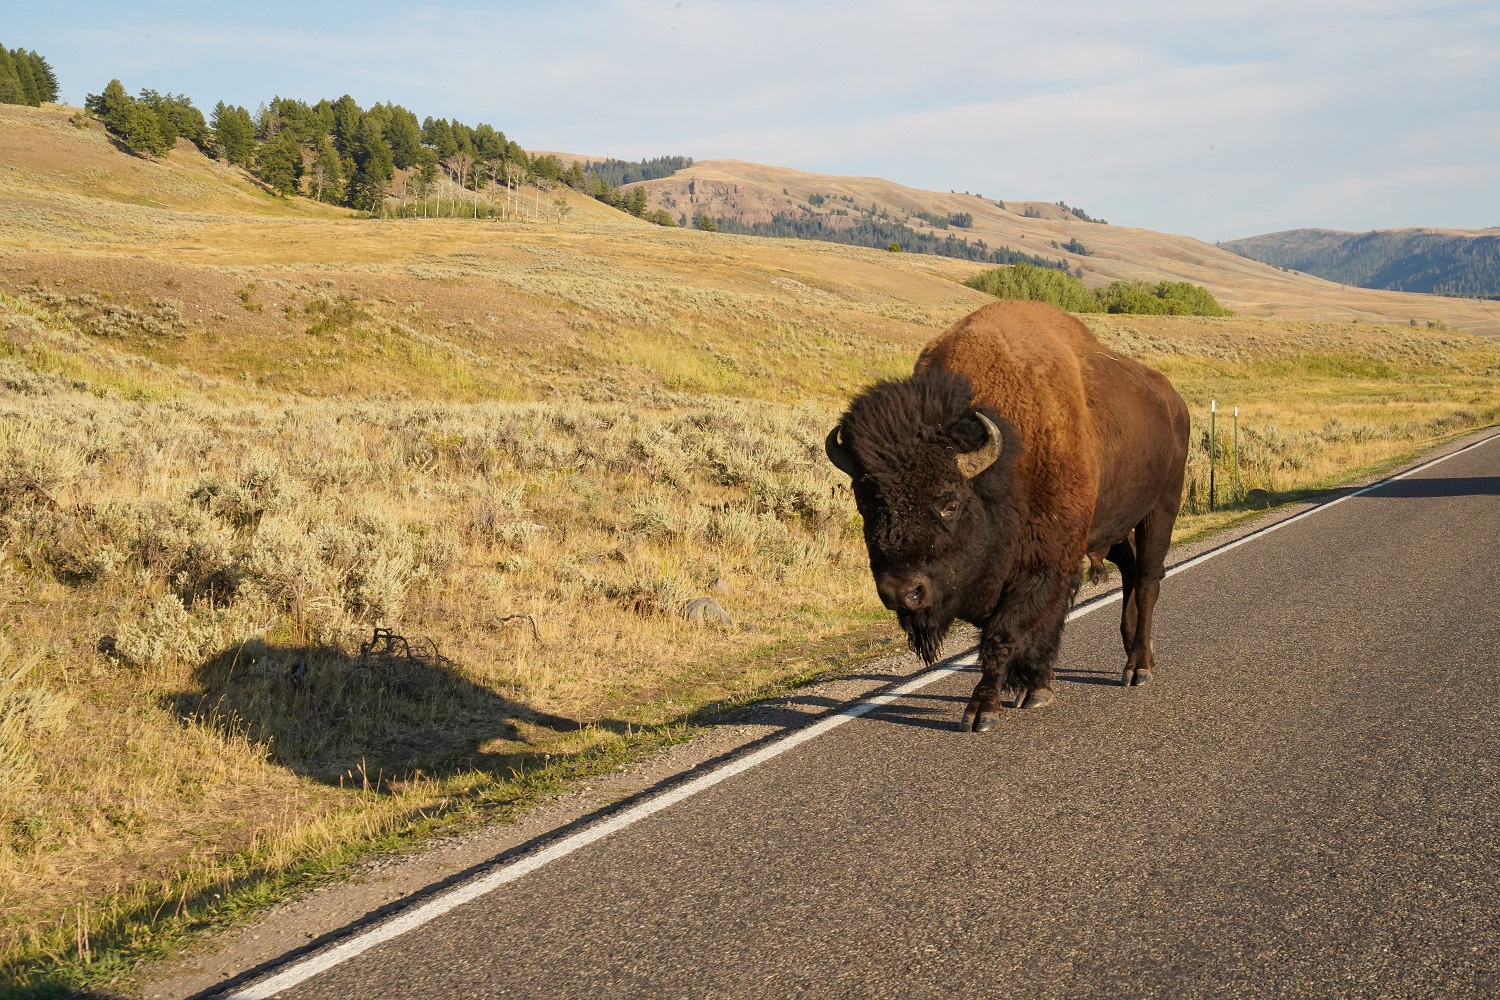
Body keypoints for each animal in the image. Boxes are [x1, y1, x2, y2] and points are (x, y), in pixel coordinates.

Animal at [825, 300, 1189, 732]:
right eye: (865, 504)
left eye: (950, 503)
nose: (903, 592)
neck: (1011, 455)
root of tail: (1173, 401)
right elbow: (1030, 629)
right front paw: (1035, 688)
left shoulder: (1047, 564)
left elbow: (1007, 633)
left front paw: (983, 710)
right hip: (1116, 528)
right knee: (1132, 575)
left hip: (1161, 507)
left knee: (1148, 580)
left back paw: (1139, 668)